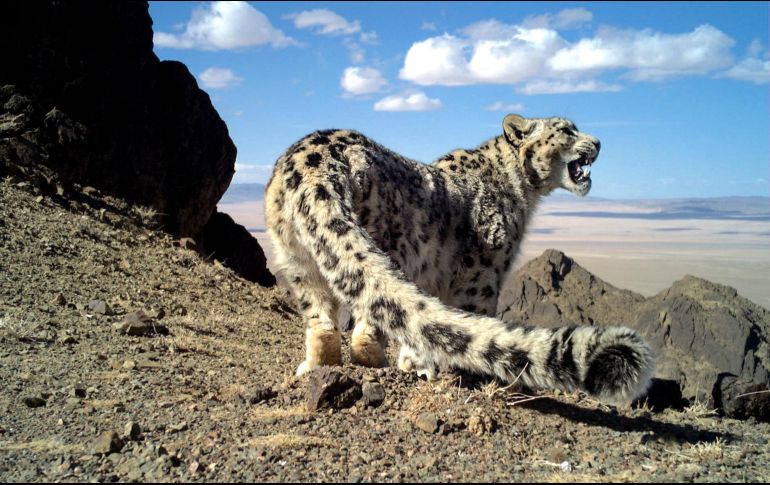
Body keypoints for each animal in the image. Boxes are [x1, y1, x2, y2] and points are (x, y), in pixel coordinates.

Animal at [264, 114, 654, 404]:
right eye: (568, 129)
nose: (599, 143)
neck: (523, 191)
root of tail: (311, 159)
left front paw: (415, 364)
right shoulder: (484, 273)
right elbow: (473, 316)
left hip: (296, 259)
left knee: (322, 319)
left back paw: (316, 366)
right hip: (392, 246)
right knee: (368, 322)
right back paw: (375, 363)